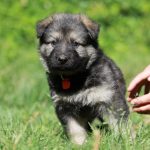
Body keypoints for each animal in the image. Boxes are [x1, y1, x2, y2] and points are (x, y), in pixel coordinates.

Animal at [36, 13, 129, 145]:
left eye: (76, 43)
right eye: (53, 43)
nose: (62, 59)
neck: (74, 77)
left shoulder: (110, 99)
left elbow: (119, 123)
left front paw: (125, 140)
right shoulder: (65, 107)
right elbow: (75, 129)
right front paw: (79, 144)